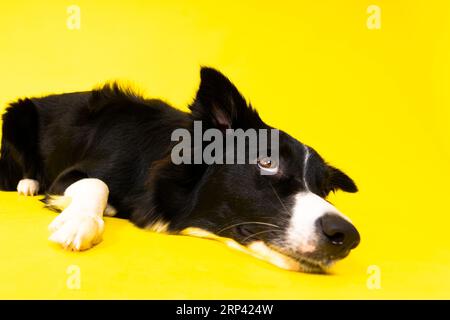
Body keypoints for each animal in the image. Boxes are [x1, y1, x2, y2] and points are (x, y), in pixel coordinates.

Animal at [0, 67, 358, 272]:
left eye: (323, 189)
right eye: (267, 162)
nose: (347, 236)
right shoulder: (68, 176)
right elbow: (97, 184)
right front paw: (79, 222)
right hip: (16, 114)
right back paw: (27, 184)